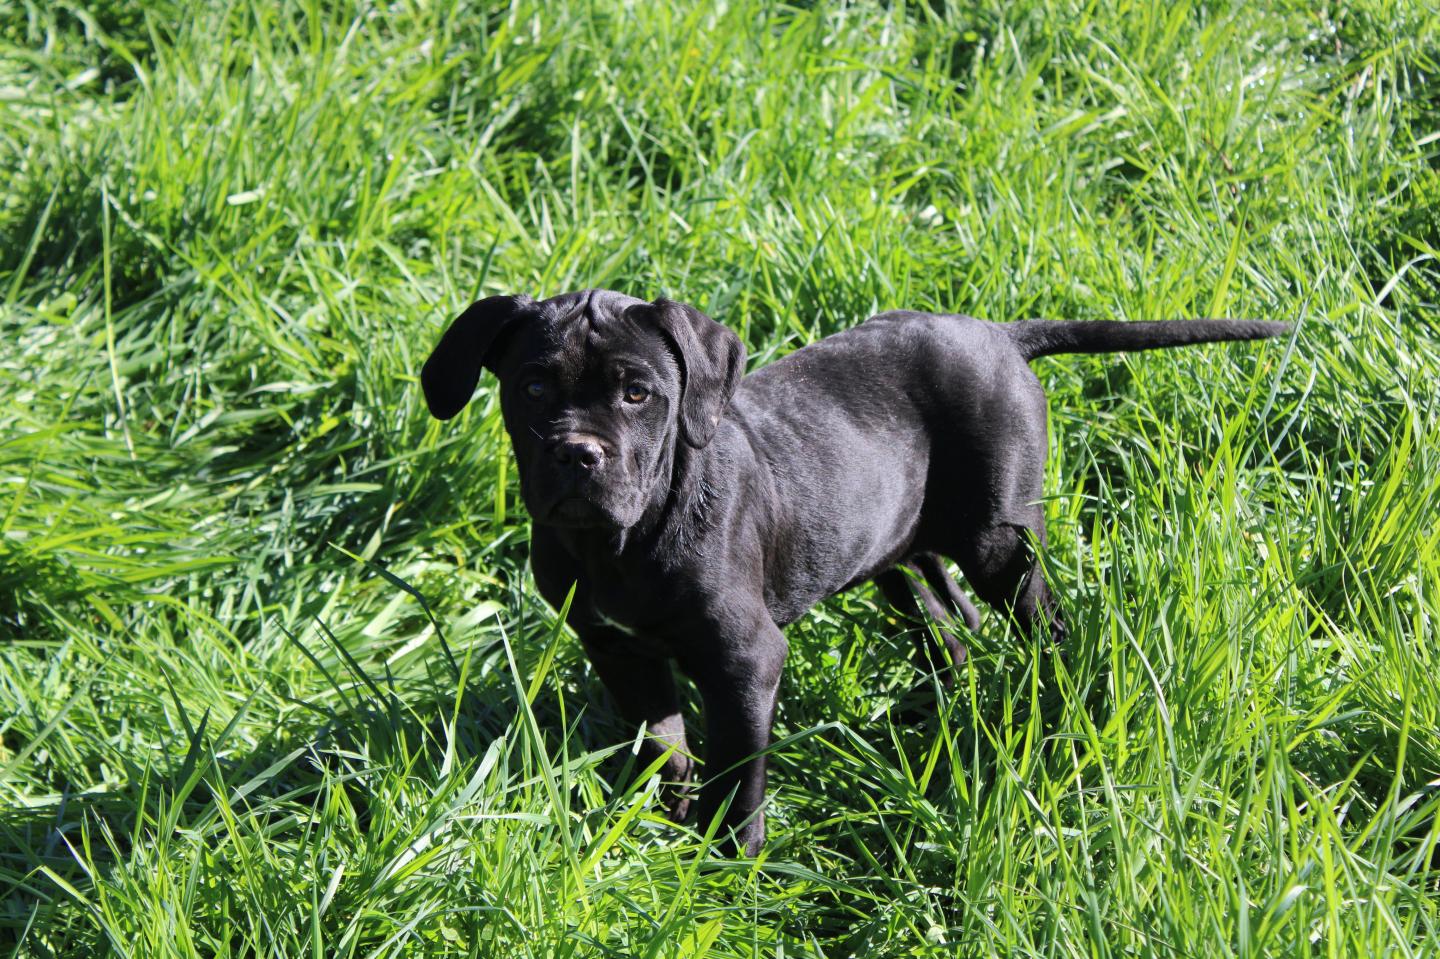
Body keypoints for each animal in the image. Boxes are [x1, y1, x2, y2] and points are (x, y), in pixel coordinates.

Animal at [420, 287, 1290, 846]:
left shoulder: (744, 660)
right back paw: (939, 713)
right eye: (533, 385)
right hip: (896, 549)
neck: (619, 542)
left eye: (638, 393)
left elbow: (738, 773)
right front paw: (663, 830)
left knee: (1042, 624)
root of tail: (1001, 334)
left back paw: (1056, 704)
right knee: (950, 626)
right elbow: (663, 747)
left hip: (999, 540)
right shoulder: (617, 649)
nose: (577, 454)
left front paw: (726, 864)